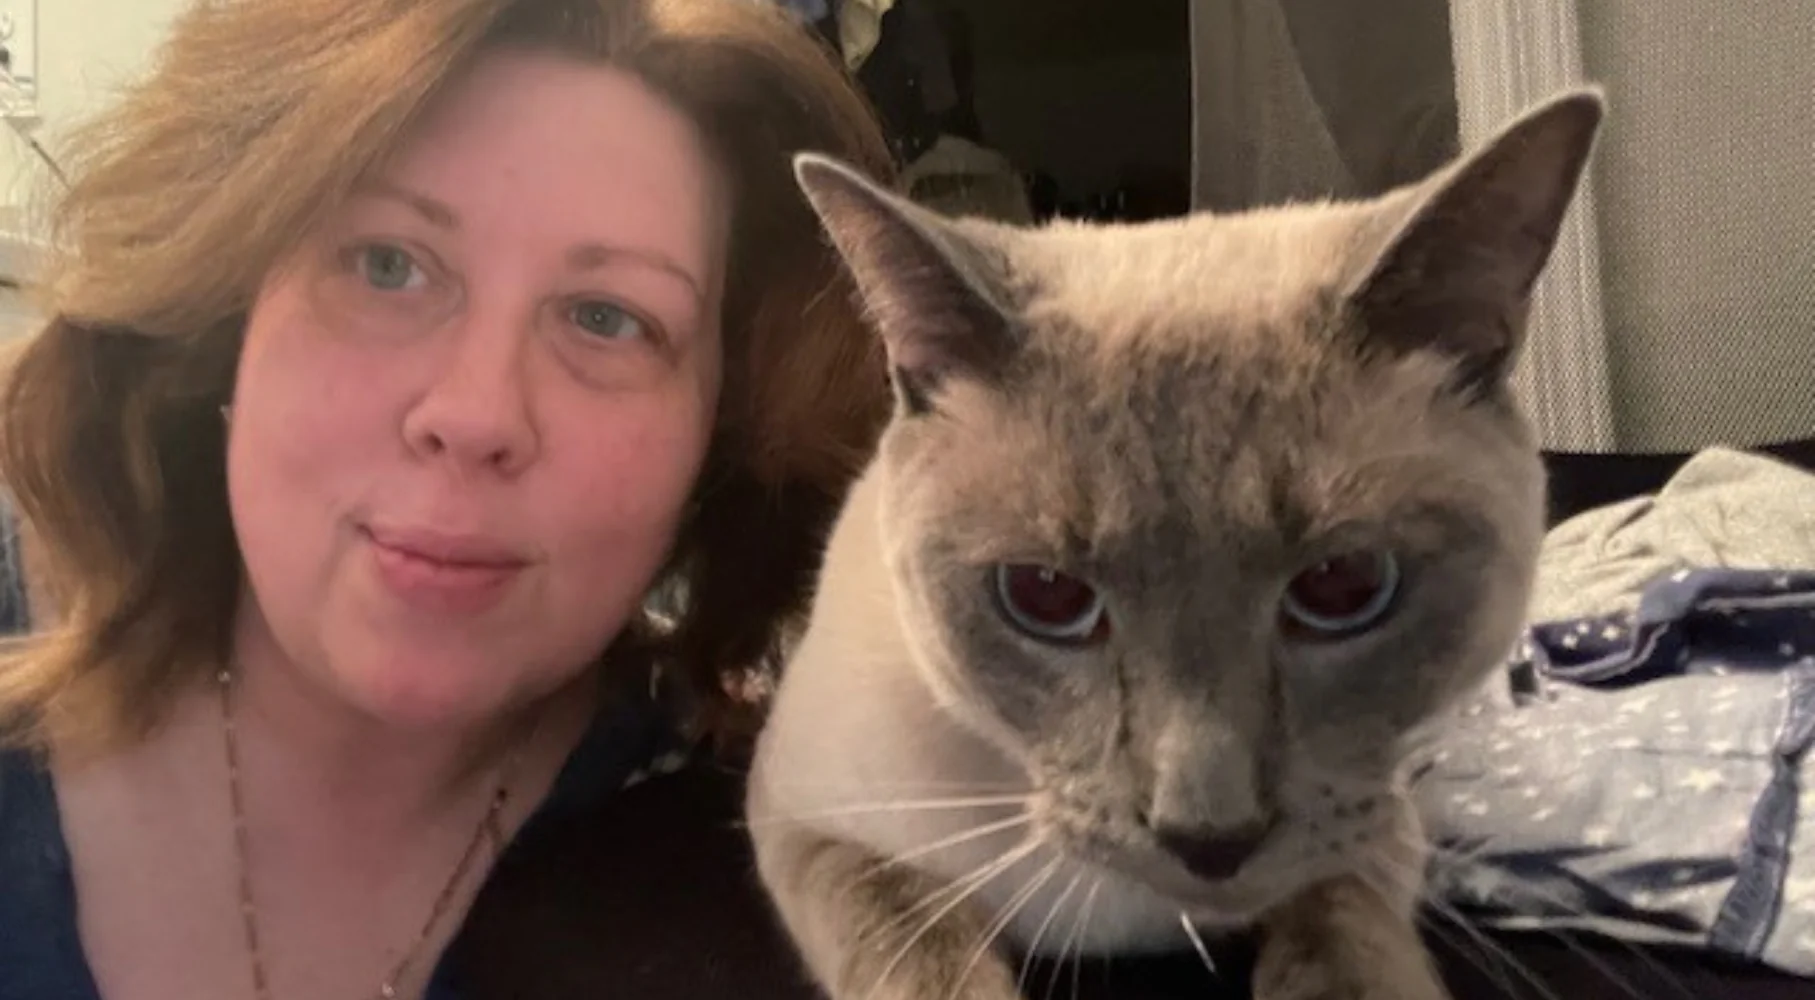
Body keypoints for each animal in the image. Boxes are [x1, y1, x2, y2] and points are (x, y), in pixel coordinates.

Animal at [745, 89, 1604, 1000]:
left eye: (1342, 584)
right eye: (1044, 596)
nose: (1208, 836)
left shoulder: (1372, 823)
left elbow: (1345, 932)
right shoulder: (812, 827)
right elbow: (925, 960)